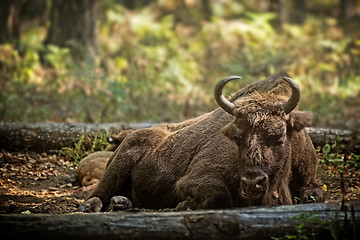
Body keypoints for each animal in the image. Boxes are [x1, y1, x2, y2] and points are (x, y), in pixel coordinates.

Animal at [79, 72, 326, 212]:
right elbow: (219, 196)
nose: (251, 182)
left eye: (279, 135)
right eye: (236, 137)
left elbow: (314, 195)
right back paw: (92, 206)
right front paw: (183, 205)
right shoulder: (195, 178)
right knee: (97, 193)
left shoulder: (310, 180)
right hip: (120, 164)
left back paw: (121, 202)